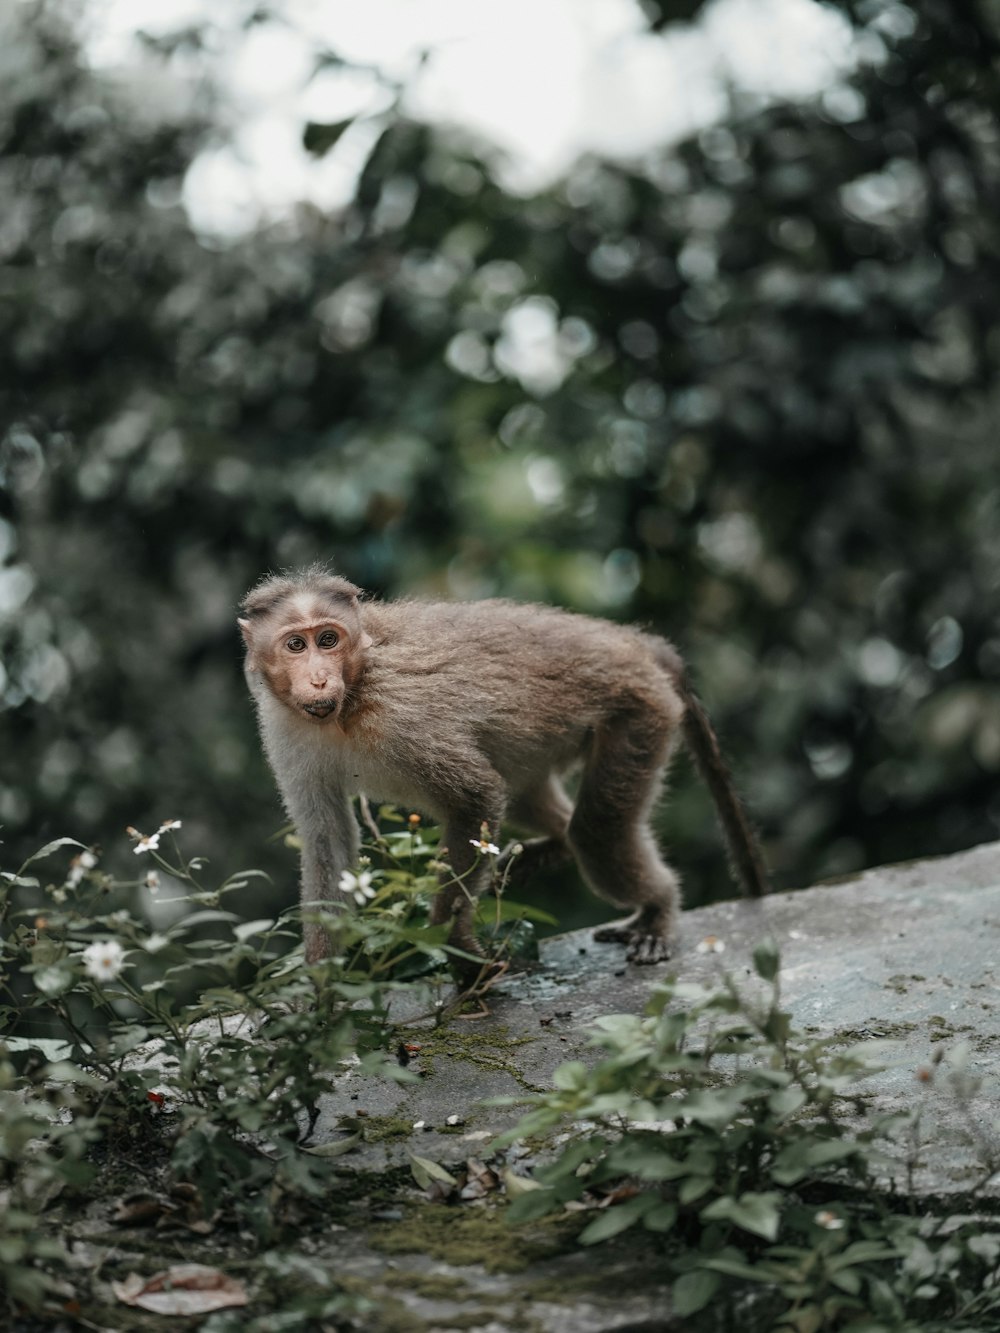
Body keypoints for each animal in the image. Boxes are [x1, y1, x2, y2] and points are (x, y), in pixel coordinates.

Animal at [238, 567, 773, 986]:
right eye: (296, 644)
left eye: (328, 640)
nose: (319, 679)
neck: (349, 699)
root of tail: (631, 641)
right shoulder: (286, 731)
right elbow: (327, 839)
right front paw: (319, 993)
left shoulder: (400, 714)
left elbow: (476, 797)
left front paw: (456, 946)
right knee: (534, 802)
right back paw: (556, 844)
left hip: (640, 713)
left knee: (595, 832)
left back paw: (658, 909)